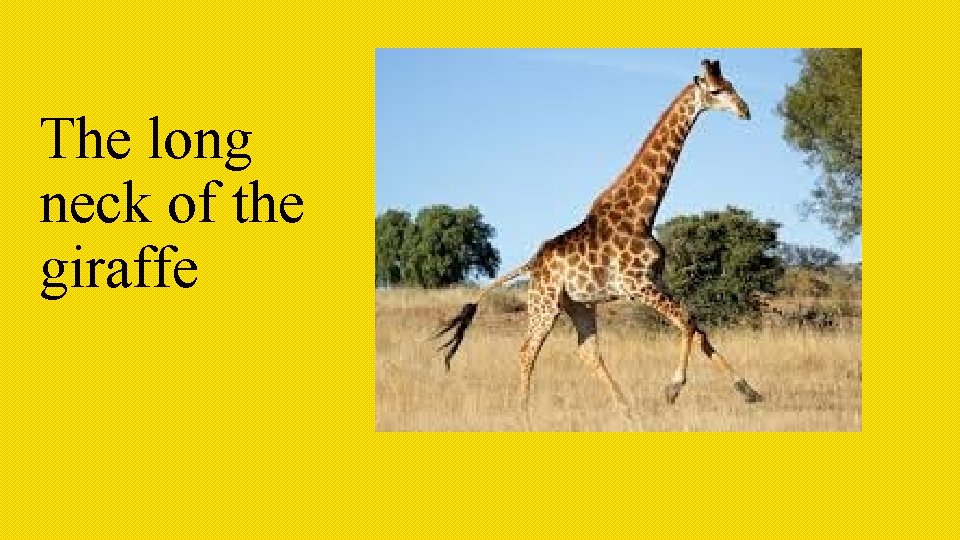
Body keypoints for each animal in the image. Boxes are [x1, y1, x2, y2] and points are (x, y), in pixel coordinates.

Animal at [435, 59, 763, 417]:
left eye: (731, 84)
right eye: (716, 90)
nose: (745, 110)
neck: (643, 214)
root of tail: (531, 264)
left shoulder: (655, 281)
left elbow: (700, 329)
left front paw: (749, 391)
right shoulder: (638, 285)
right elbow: (689, 321)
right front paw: (672, 389)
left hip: (578, 305)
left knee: (587, 352)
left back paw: (626, 409)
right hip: (544, 304)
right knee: (527, 350)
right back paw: (525, 413)